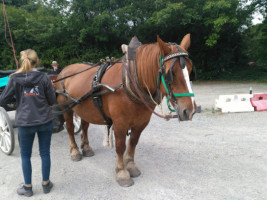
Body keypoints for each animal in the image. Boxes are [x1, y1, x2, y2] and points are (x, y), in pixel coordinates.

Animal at [55, 34, 197, 186]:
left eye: (190, 70)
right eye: (171, 73)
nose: (189, 110)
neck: (130, 81)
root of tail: (62, 72)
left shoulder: (141, 123)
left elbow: (133, 143)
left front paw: (130, 165)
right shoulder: (120, 124)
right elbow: (120, 146)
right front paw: (122, 172)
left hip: (84, 109)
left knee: (85, 126)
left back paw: (86, 148)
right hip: (66, 109)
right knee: (70, 128)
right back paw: (75, 151)